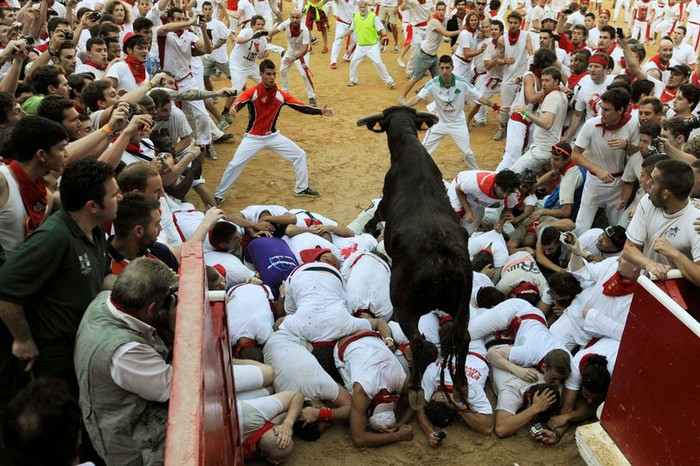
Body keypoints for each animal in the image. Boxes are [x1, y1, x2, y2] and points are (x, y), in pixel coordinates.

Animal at [358, 106, 474, 412]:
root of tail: (446, 254)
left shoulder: (385, 204)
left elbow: (376, 215)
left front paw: (368, 229)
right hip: (460, 308)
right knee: (463, 338)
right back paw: (461, 384)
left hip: (404, 308)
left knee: (421, 343)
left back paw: (413, 391)